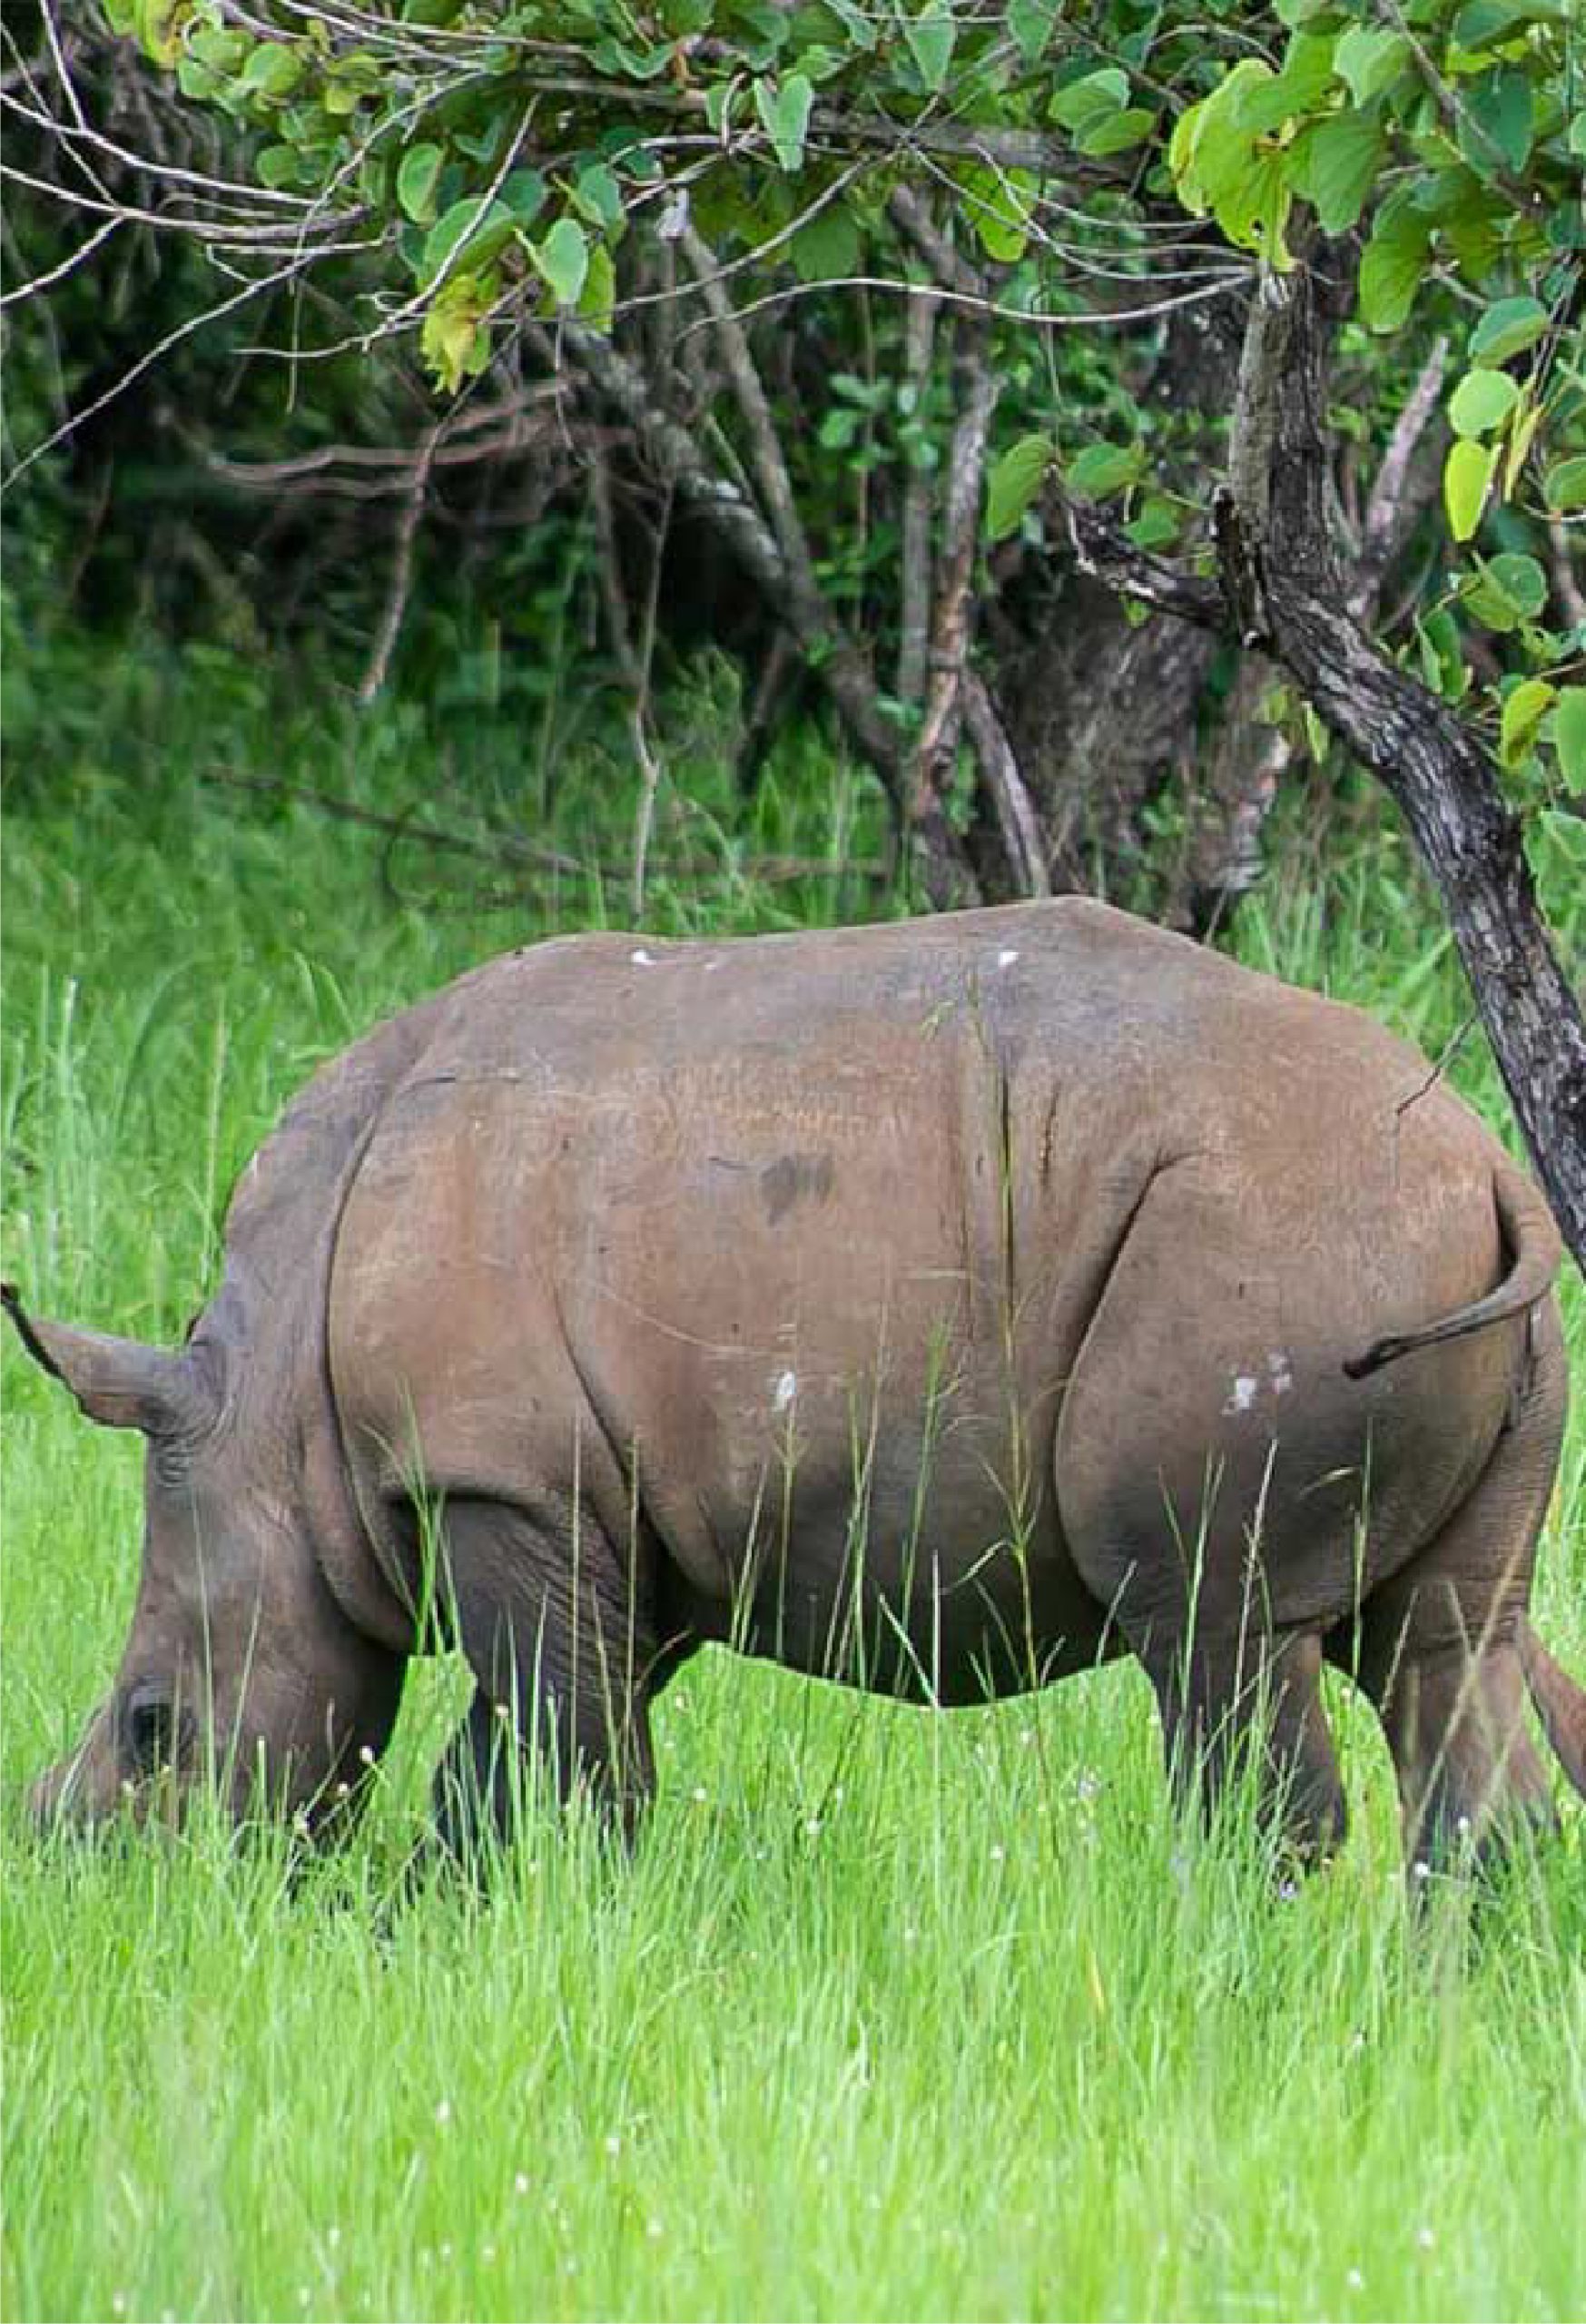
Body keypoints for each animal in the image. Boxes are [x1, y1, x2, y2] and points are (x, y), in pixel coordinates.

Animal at [9, 900, 1585, 1872]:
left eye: (152, 1727)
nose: (108, 1884)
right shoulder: (620, 1516)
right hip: (1424, 1268)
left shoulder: (497, 1477)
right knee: (1448, 1651)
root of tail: (1487, 1165)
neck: (271, 1405)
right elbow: (531, 1758)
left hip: (1273, 1242)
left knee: (1208, 1626)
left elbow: (557, 1766)